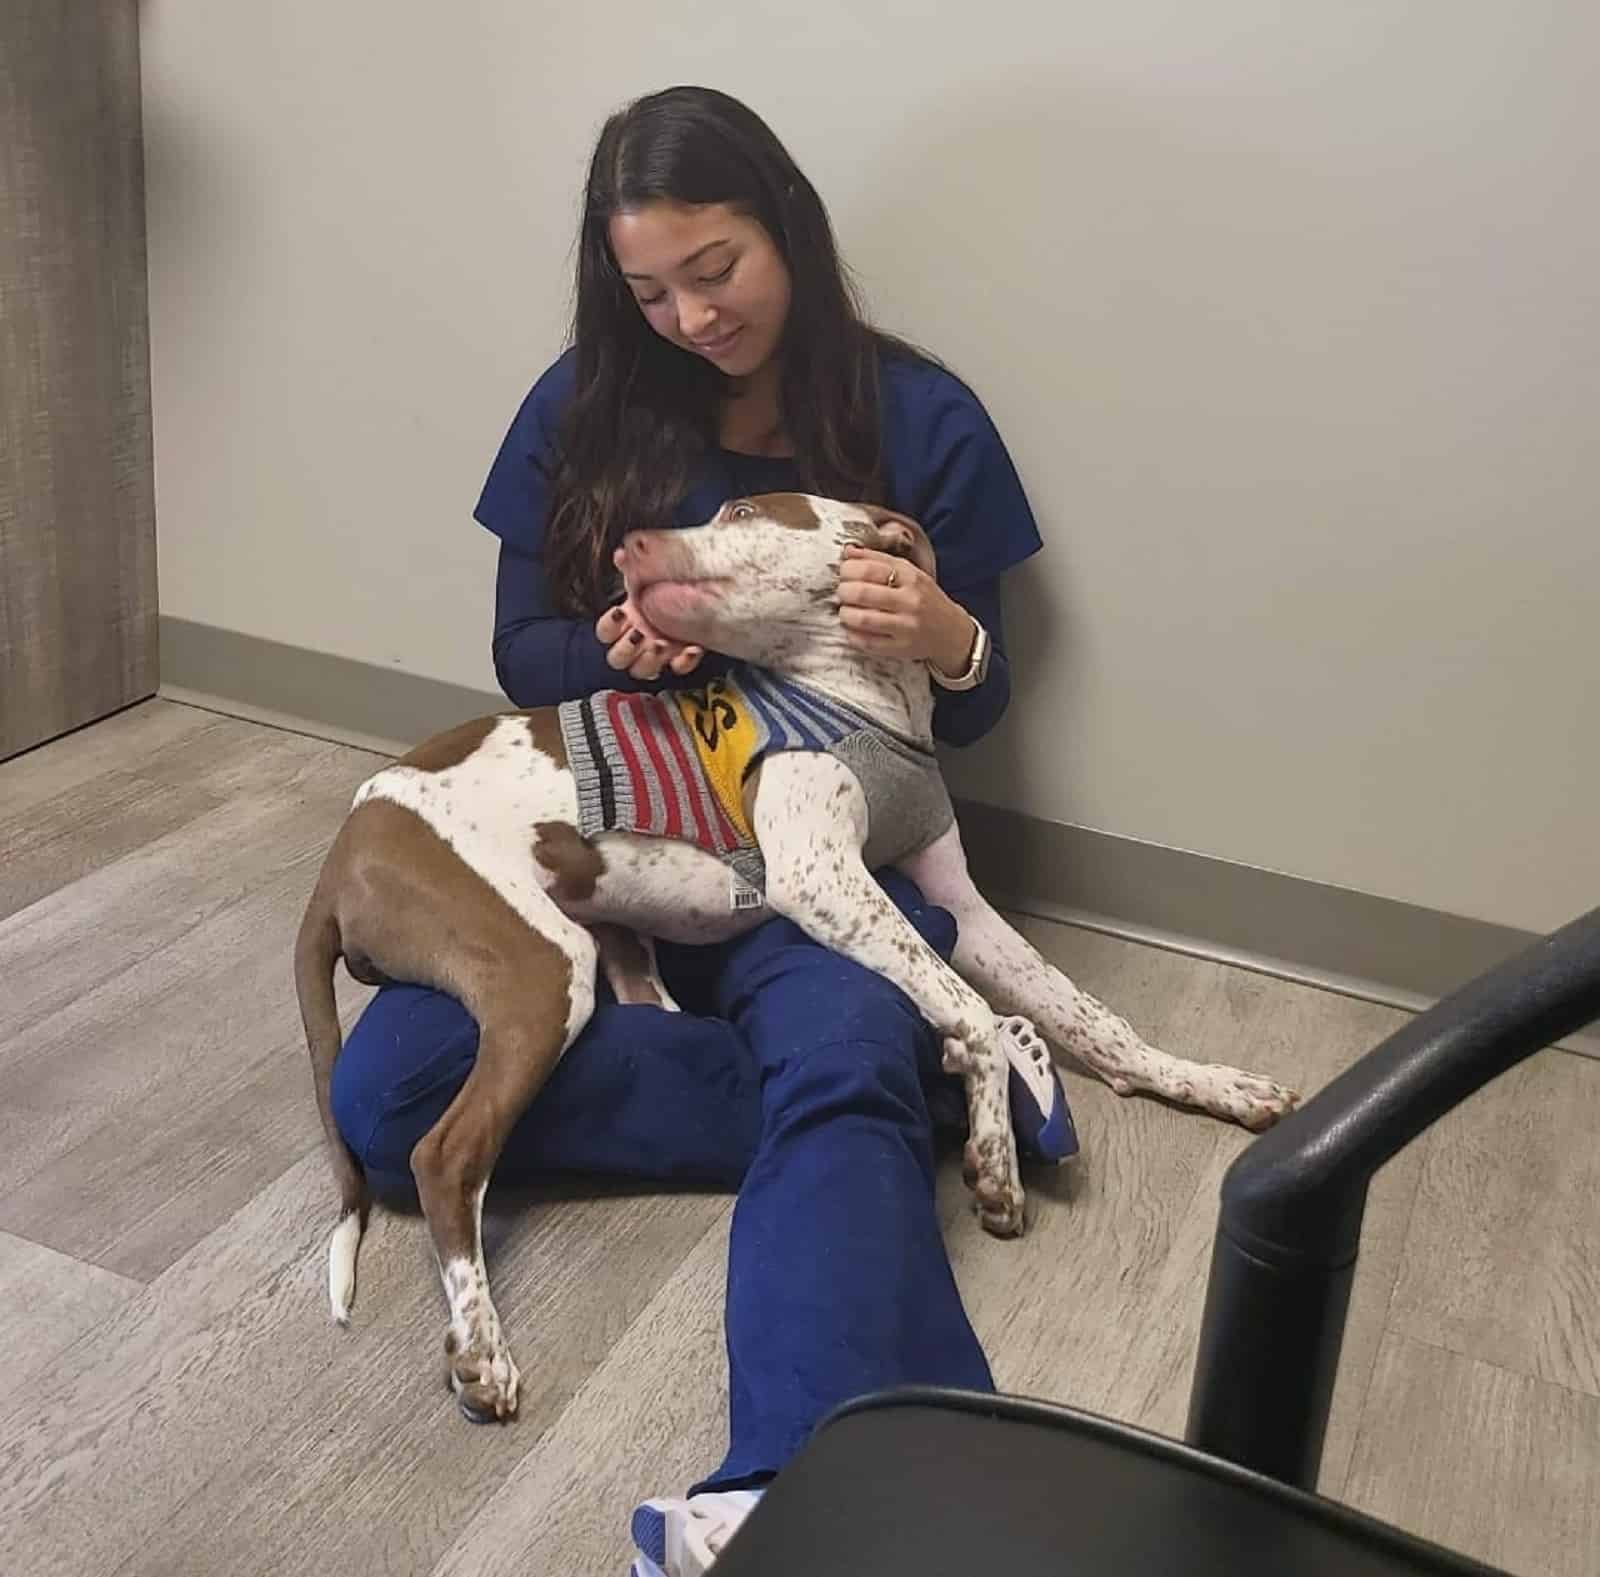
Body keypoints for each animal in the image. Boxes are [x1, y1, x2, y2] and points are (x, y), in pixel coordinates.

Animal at [297, 495, 1299, 1426]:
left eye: (743, 510)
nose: (627, 544)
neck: (865, 698)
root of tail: (344, 854)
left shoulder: (960, 905)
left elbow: (1094, 1018)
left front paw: (1210, 1082)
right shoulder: (824, 880)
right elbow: (968, 1010)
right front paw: (992, 1152)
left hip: (599, 948)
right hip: (539, 966)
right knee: (446, 1152)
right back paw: (480, 1348)